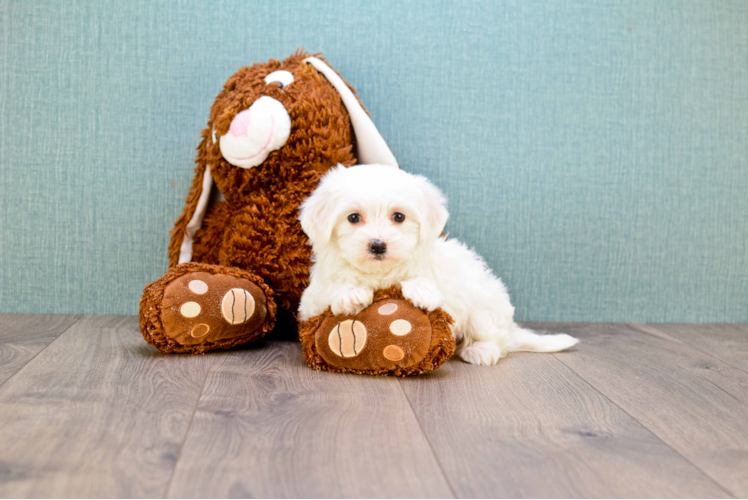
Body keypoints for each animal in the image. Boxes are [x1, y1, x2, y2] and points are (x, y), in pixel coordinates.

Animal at [298, 166, 580, 366]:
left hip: (483, 307)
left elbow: (426, 281)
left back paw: (481, 350)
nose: (378, 245)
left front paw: (421, 291)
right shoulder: (310, 301)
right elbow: (332, 287)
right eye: (353, 218)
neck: (380, 275)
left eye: (398, 216)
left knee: (498, 339)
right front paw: (350, 293)